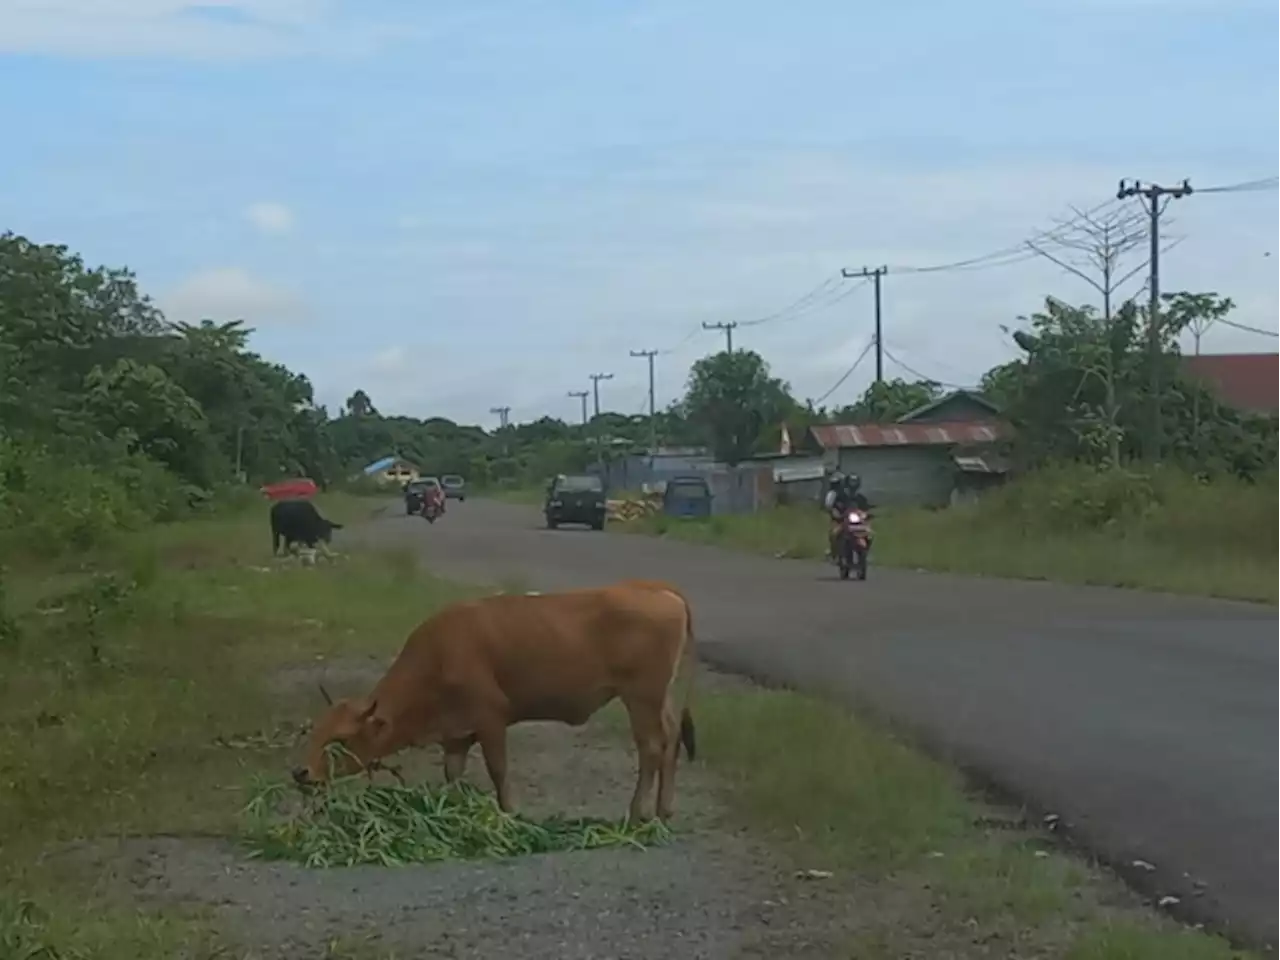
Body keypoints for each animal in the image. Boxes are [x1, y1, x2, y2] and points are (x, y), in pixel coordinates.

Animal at [293, 583, 696, 824]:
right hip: (659, 698)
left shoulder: (491, 720)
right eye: (315, 733)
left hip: (641, 697)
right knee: (672, 739)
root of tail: (658, 589)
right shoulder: (455, 735)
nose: (301, 773)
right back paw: (664, 810)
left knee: (651, 748)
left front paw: (509, 814)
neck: (440, 654)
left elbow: (498, 771)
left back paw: (638, 812)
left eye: (339, 741)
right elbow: (452, 774)